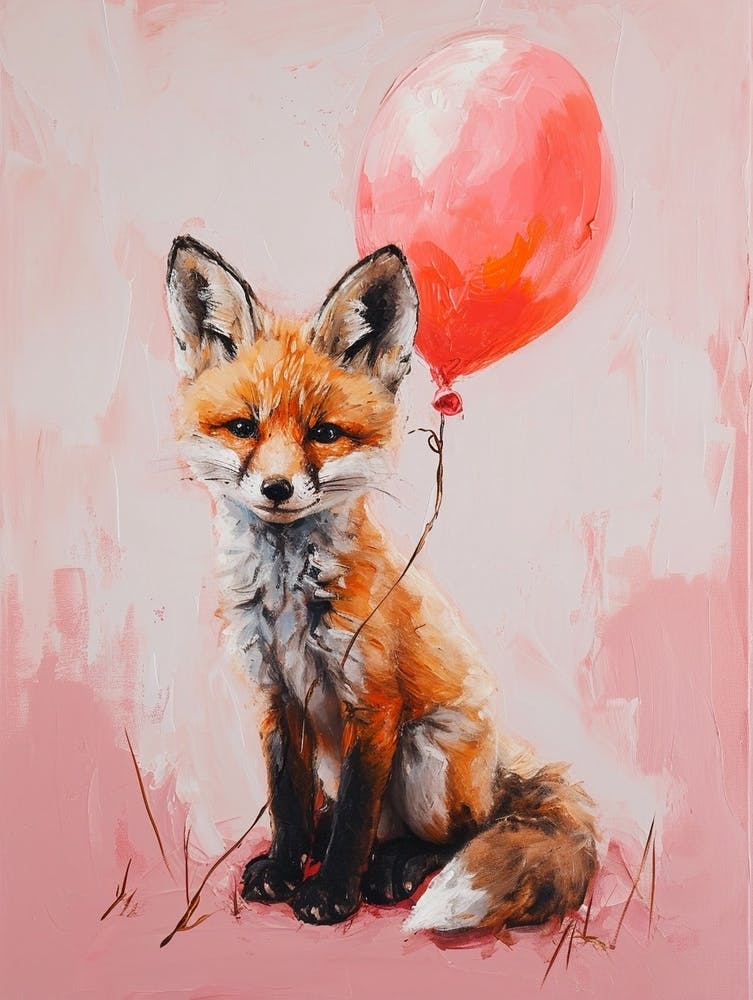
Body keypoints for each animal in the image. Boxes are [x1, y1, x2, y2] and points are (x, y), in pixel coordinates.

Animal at [165, 234, 597, 932]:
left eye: (324, 433)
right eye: (243, 427)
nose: (277, 488)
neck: (287, 602)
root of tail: (496, 777)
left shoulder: (375, 705)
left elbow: (354, 818)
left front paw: (331, 895)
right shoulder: (275, 698)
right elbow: (286, 802)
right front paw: (285, 867)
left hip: (426, 756)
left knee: (453, 835)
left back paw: (394, 868)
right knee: (337, 812)